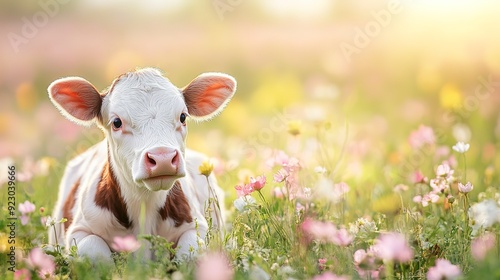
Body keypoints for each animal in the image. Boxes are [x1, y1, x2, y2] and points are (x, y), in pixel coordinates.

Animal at [47, 68, 234, 260]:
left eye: (183, 116)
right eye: (116, 122)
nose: (163, 158)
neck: (145, 203)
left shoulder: (198, 227)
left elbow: (191, 252)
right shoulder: (79, 229)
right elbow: (93, 248)